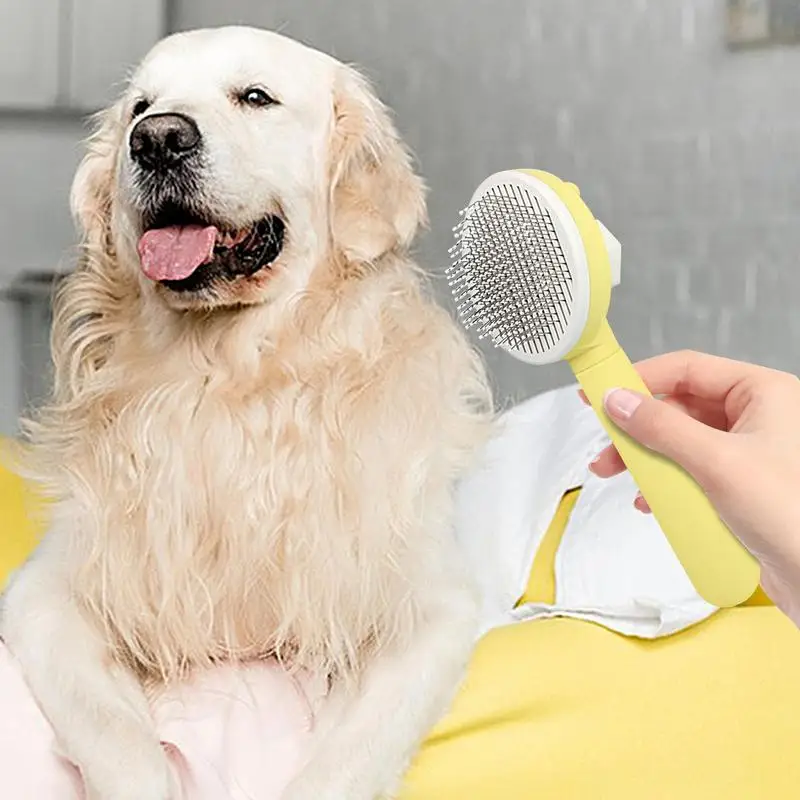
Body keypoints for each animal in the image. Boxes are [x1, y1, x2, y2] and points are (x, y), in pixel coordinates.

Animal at [1, 25, 494, 800]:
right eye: (142, 105)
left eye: (255, 96)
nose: (157, 140)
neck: (229, 382)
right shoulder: (46, 593)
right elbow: (115, 737)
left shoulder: (429, 606)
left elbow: (347, 758)